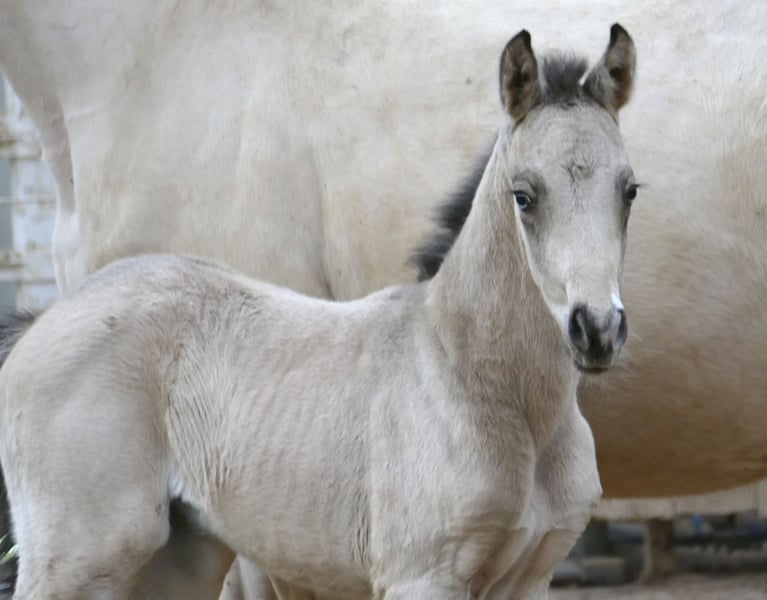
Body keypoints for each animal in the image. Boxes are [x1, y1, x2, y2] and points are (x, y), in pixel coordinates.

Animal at [0, 26, 638, 599]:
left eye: (629, 189)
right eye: (524, 195)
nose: (597, 329)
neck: (474, 377)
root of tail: (40, 323)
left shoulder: (530, 578)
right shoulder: (422, 577)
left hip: (178, 557)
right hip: (79, 558)